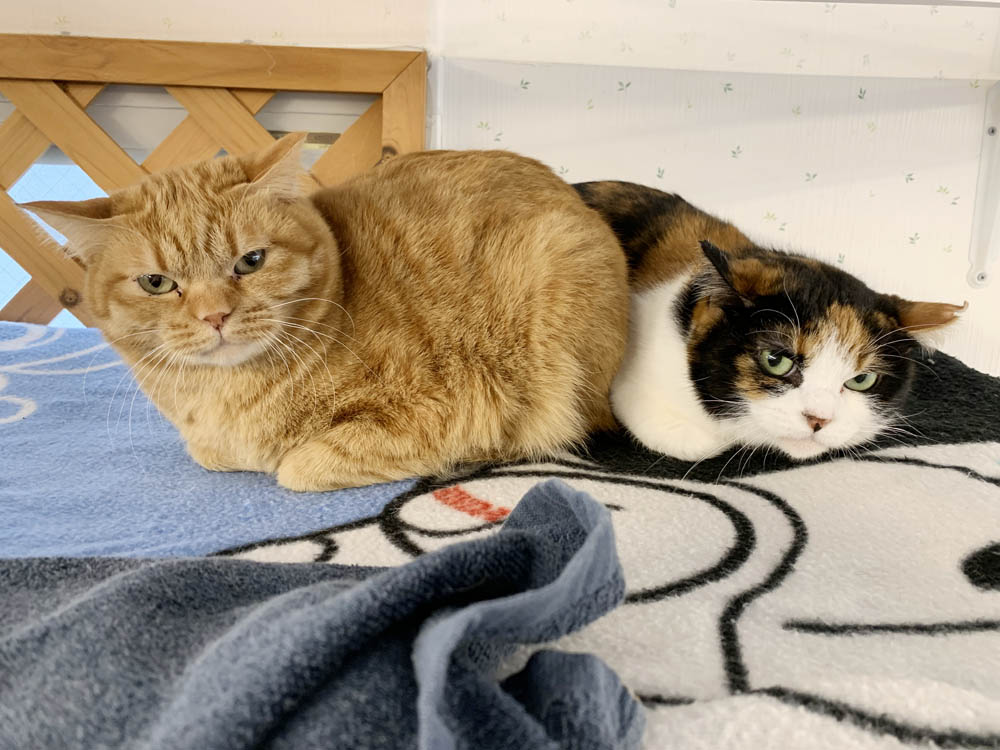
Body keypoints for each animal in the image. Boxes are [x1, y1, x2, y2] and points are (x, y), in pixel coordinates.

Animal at [22, 135, 628, 491]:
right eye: (157, 283)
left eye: (251, 261)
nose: (215, 316)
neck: (228, 396)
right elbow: (213, 454)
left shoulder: (448, 407)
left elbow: (296, 468)